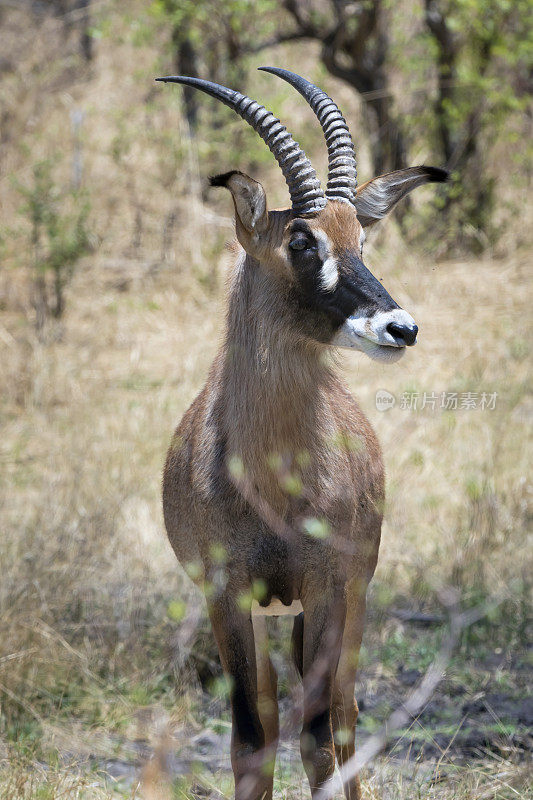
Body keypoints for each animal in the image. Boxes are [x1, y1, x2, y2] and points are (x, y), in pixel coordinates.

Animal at [157, 67, 444, 800]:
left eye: (361, 240)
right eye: (301, 241)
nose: (400, 328)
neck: (271, 475)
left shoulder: (328, 586)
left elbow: (318, 735)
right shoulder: (227, 596)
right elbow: (251, 738)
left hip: (350, 599)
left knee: (341, 716)